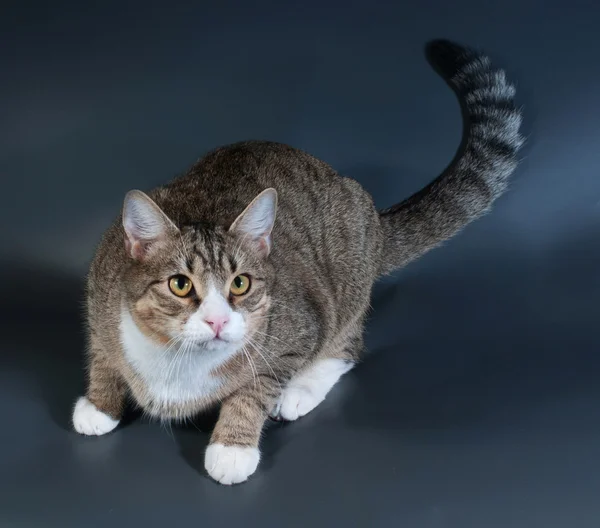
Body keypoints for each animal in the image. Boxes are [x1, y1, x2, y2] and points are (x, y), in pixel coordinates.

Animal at [70, 39, 524, 484]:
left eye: (240, 284)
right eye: (180, 285)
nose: (217, 321)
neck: (175, 358)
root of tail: (374, 220)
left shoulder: (299, 330)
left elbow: (256, 388)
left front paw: (232, 447)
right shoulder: (101, 288)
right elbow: (102, 354)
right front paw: (99, 405)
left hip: (346, 282)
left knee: (347, 347)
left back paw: (299, 392)